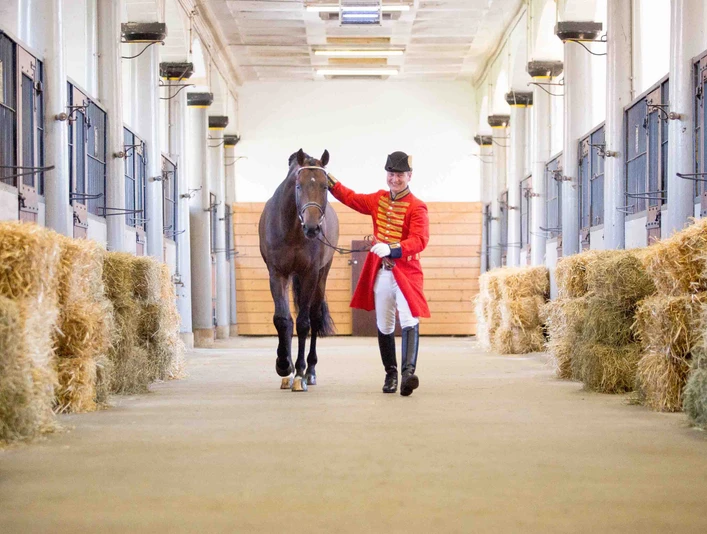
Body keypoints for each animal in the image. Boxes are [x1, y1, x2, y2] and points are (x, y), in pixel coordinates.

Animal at [258, 149, 339, 392]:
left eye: (325, 186)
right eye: (298, 185)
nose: (312, 228)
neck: (293, 229)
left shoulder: (310, 274)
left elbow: (304, 323)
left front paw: (300, 373)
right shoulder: (277, 273)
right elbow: (283, 319)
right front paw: (284, 366)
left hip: (321, 275)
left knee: (314, 317)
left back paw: (310, 371)